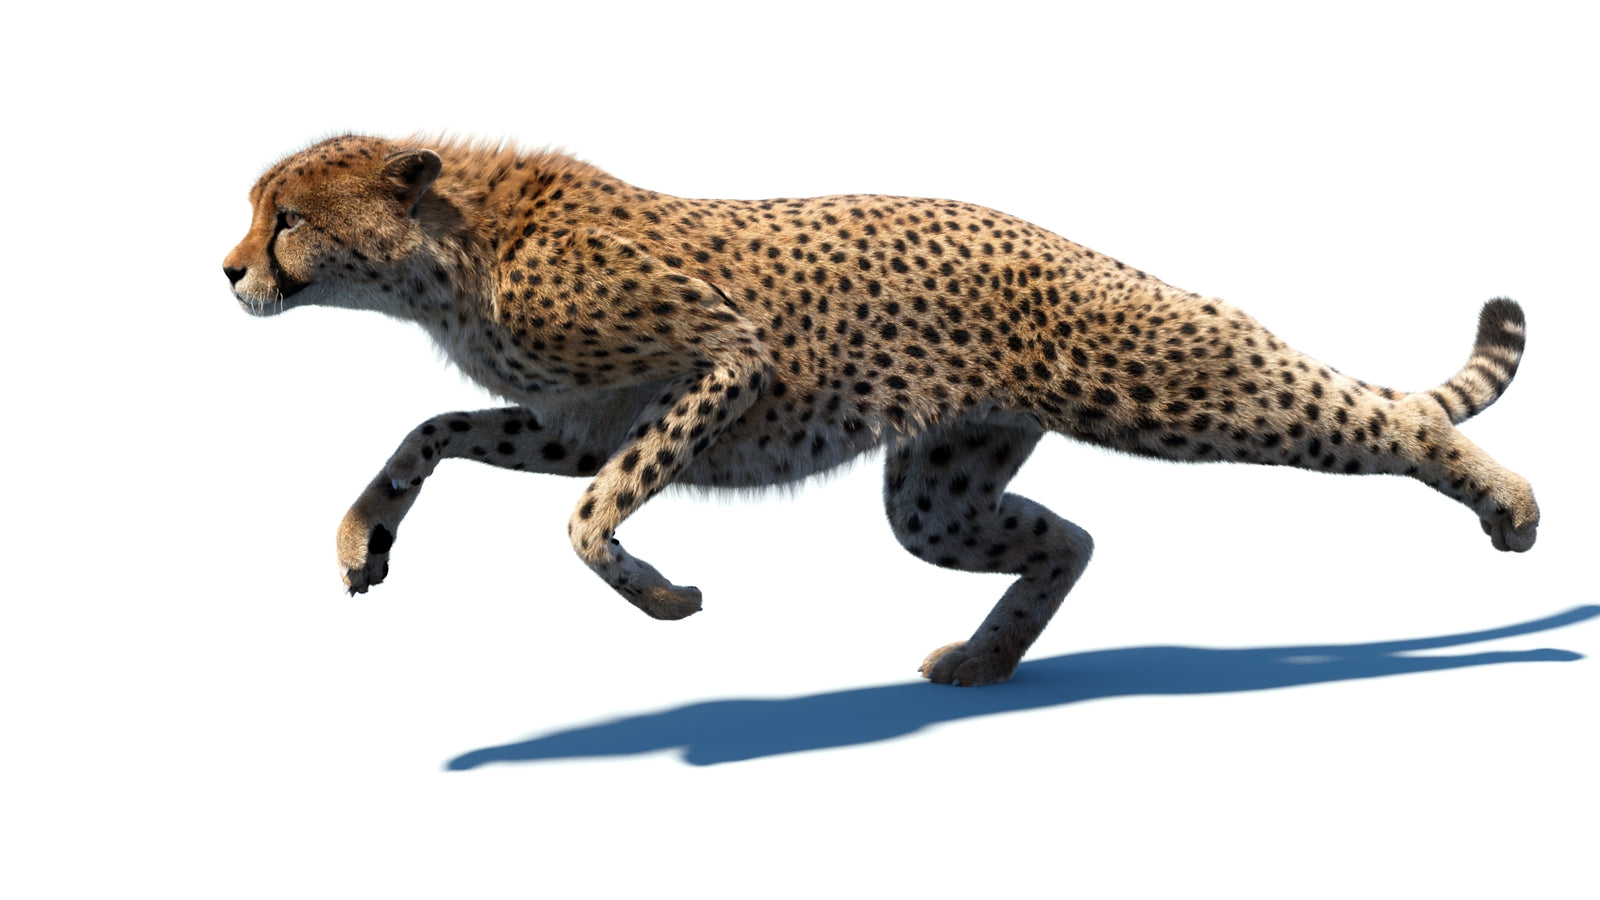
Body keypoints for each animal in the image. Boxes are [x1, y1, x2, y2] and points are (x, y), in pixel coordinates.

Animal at [223, 134, 1539, 687]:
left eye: (287, 218)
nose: (228, 272)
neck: (451, 253)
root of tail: (1057, 239)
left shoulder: (724, 359)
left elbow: (590, 518)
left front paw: (664, 598)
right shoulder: (573, 417)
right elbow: (428, 436)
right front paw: (362, 538)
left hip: (1168, 380)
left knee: (1379, 418)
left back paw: (1511, 505)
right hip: (938, 495)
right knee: (1070, 537)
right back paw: (984, 658)